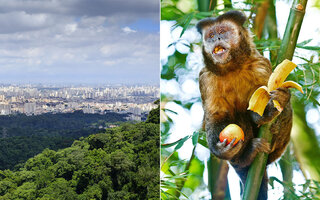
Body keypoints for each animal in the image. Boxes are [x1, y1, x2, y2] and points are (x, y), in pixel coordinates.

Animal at [196, 10, 292, 200]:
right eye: (211, 35)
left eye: (223, 31)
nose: (217, 38)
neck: (231, 67)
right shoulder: (205, 78)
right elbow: (215, 116)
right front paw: (221, 150)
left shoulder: (260, 65)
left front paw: (275, 105)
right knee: (237, 115)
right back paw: (245, 158)